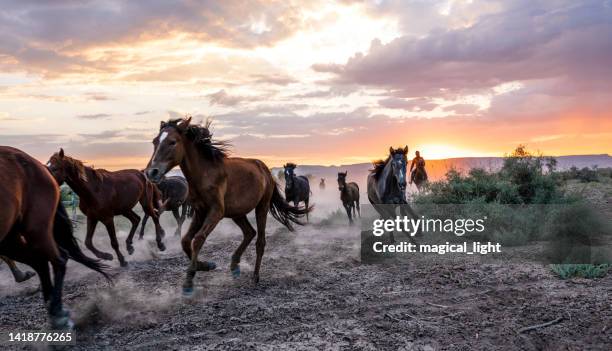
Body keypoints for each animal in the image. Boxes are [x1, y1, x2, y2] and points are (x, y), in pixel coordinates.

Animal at [0, 146, 110, 330]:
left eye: (57, 166)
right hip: (11, 238)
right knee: (40, 261)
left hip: (36, 229)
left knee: (58, 259)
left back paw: (57, 313)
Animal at [143, 117, 310, 296]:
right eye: (154, 141)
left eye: (172, 142)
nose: (151, 172)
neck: (205, 173)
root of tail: (264, 169)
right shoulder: (200, 212)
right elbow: (186, 240)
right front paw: (205, 265)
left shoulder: (216, 212)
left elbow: (198, 240)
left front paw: (189, 281)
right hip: (237, 212)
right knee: (249, 232)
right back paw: (235, 265)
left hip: (262, 207)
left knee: (260, 241)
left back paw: (255, 276)